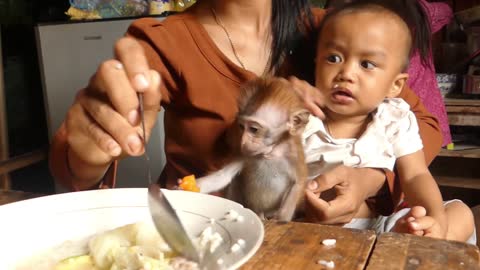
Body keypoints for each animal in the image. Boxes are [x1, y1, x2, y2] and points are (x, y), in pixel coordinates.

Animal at [193, 77, 310, 220]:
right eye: (241, 127)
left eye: (254, 129)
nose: (243, 141)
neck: (269, 152)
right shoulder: (243, 153)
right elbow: (224, 176)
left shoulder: (293, 155)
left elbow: (298, 183)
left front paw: (282, 219)